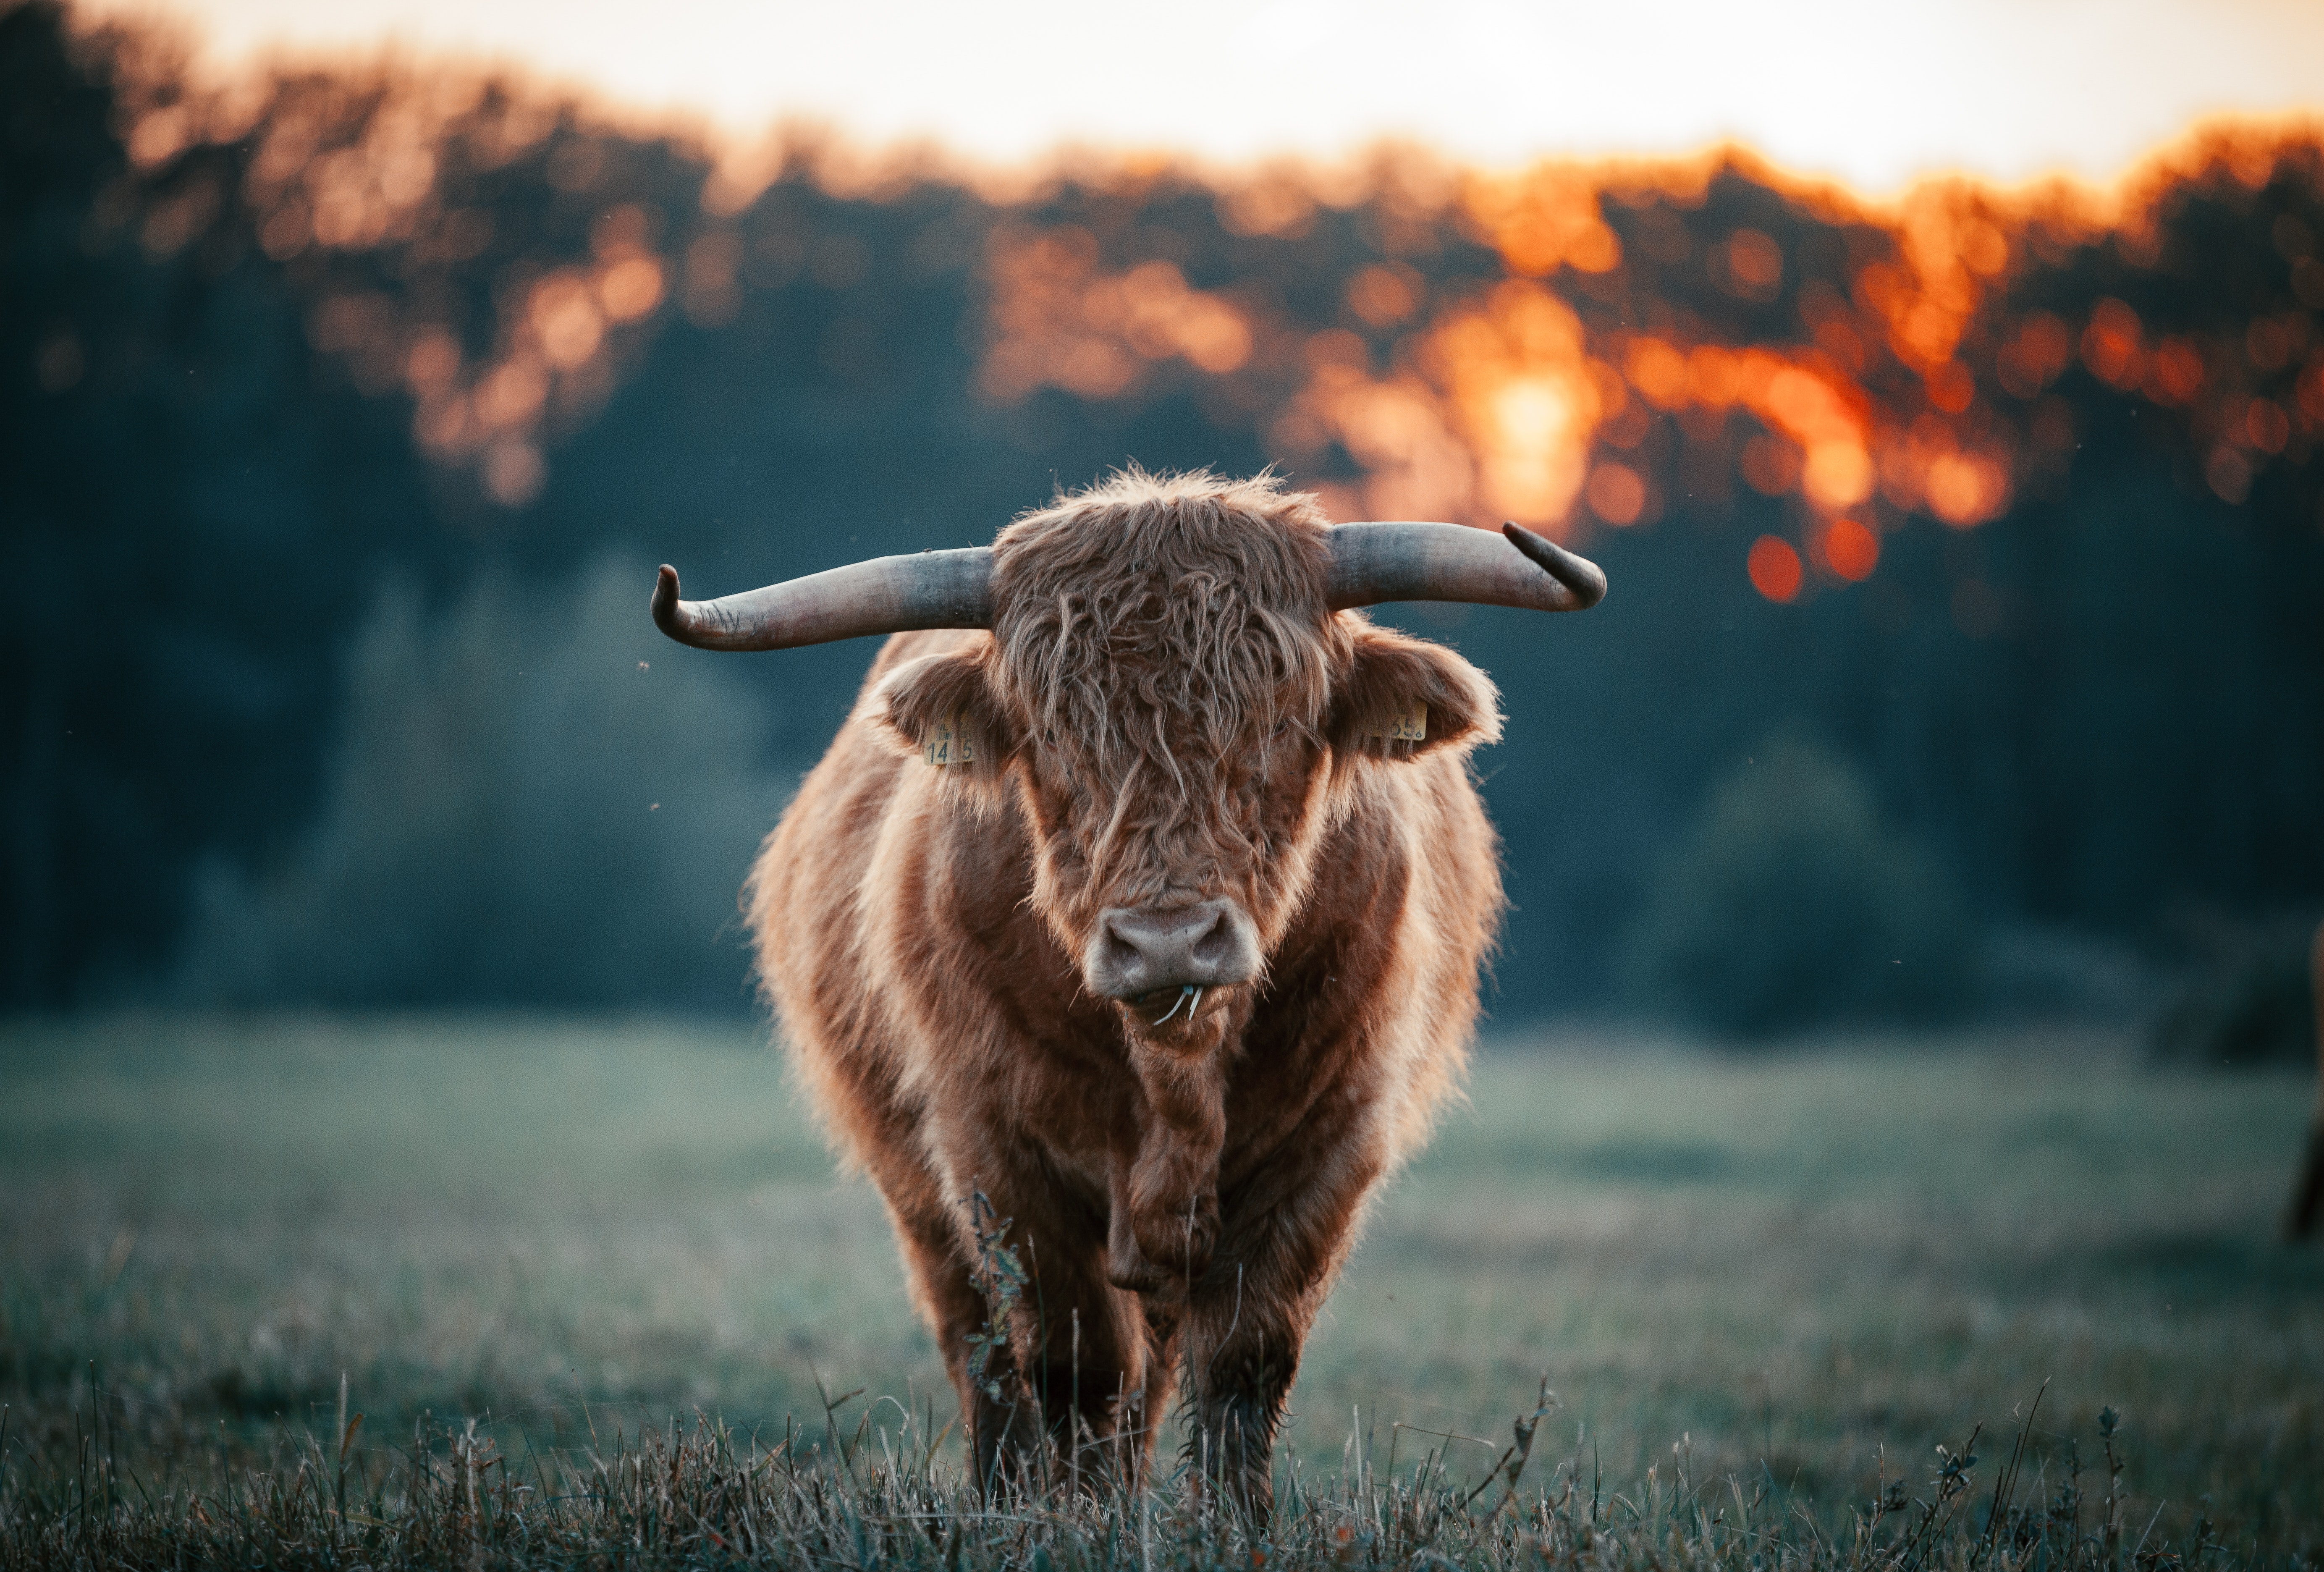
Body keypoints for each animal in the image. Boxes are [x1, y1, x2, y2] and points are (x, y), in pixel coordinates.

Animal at [650, 470, 1605, 1514]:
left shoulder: (1331, 1145)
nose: (1165, 943)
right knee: (985, 1356)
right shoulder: (998, 1155)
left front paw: (1229, 1524)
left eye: (1282, 723)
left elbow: (1244, 1362)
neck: (1174, 1075)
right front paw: (1076, 1521)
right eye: (1048, 736)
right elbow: (1074, 1369)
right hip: (921, 1198)